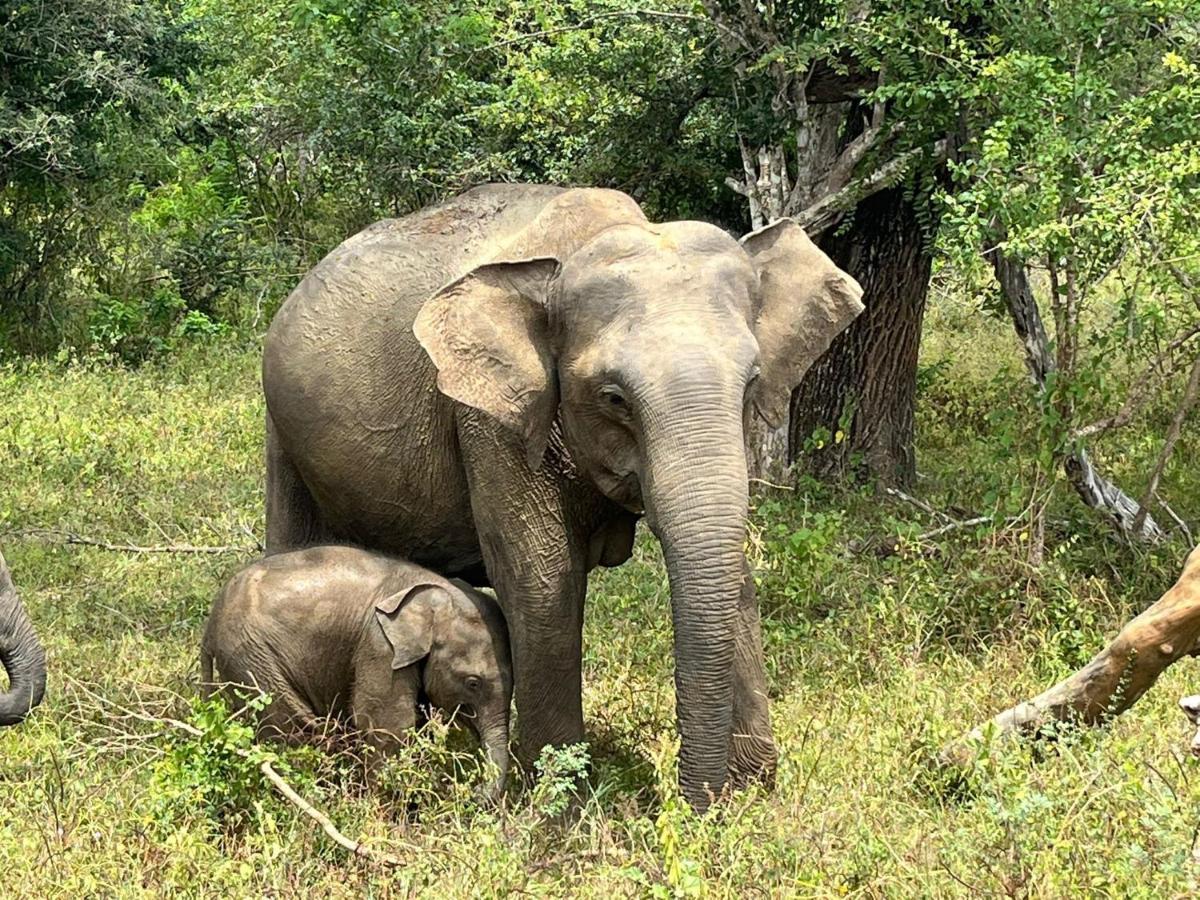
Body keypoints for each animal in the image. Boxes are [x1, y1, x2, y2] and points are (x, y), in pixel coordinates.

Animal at [201, 547, 511, 801]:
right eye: (473, 683)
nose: (473, 793)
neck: (435, 590)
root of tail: (211, 622)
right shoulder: (379, 645)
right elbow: (386, 722)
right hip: (251, 656)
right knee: (286, 727)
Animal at [262, 183, 864, 811]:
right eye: (614, 397)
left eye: (751, 384)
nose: (690, 804)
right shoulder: (490, 419)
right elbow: (543, 580)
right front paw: (559, 807)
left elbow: (732, 567)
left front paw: (749, 797)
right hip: (283, 431)